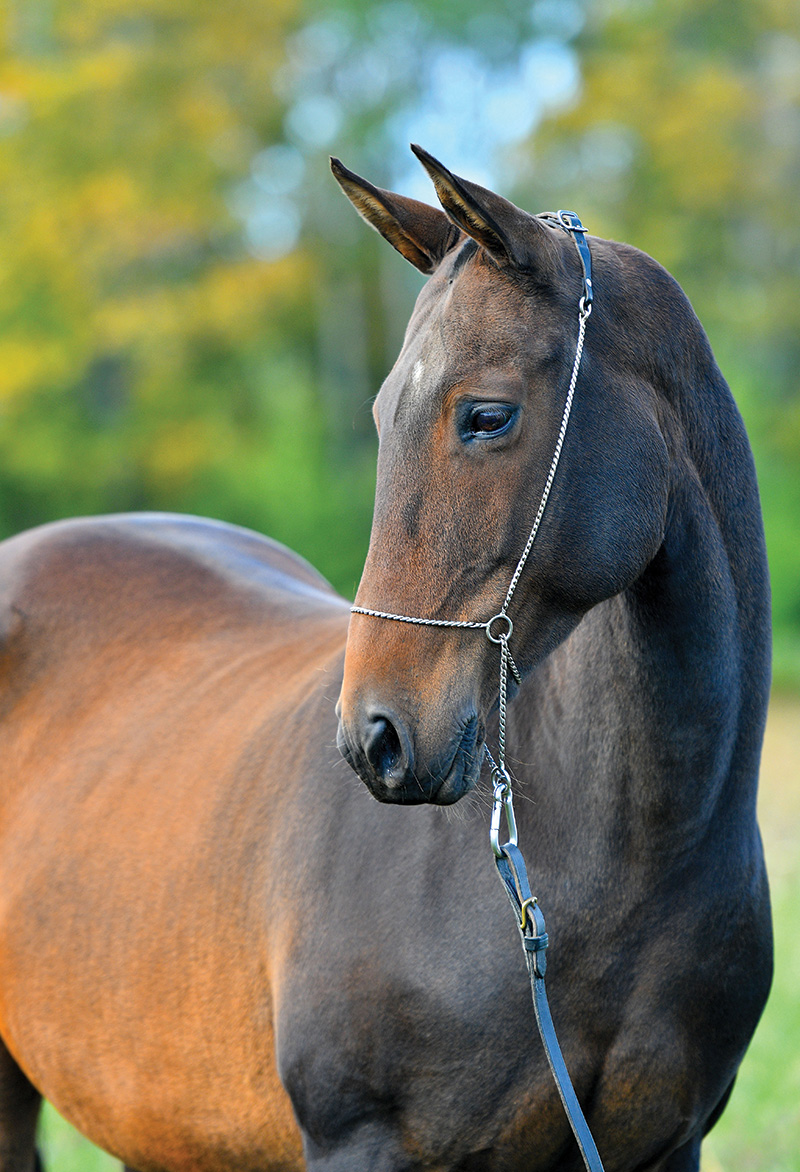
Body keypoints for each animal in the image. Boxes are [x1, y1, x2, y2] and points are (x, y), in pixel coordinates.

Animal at [0, 148, 773, 1172]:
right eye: (377, 414)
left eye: (485, 415)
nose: (377, 739)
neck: (627, 859)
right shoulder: (359, 1140)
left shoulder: (668, 1144)